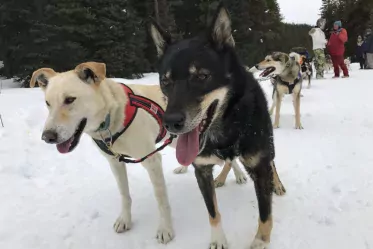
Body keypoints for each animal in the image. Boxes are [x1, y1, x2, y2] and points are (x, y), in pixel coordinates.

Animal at [148, 4, 284, 249]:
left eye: (202, 76)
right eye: (165, 81)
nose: (170, 122)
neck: (225, 130)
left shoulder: (260, 168)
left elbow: (265, 214)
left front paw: (260, 241)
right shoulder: (201, 171)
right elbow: (213, 212)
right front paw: (218, 239)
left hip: (267, 147)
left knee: (272, 164)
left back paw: (276, 183)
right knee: (229, 162)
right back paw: (221, 177)